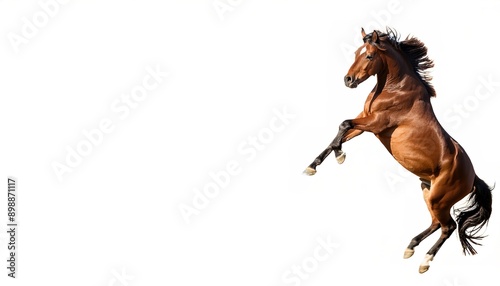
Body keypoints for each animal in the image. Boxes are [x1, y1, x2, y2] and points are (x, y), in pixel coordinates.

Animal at [302, 27, 494, 274]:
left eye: (369, 56)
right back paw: (410, 247)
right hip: (427, 191)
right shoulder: (365, 122)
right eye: (355, 52)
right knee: (436, 223)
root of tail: (473, 177)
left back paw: (425, 262)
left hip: (439, 198)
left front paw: (339, 155)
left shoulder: (376, 123)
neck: (395, 89)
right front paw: (313, 165)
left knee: (448, 226)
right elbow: (341, 131)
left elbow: (343, 125)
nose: (348, 80)